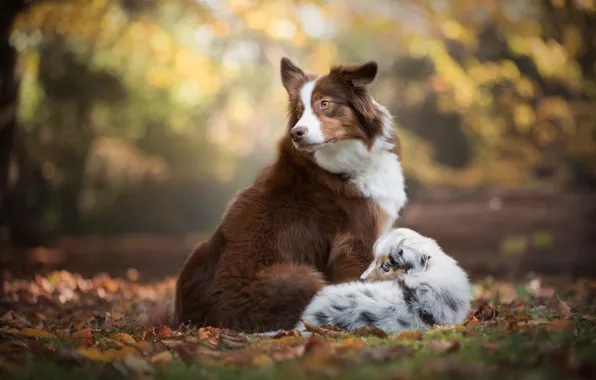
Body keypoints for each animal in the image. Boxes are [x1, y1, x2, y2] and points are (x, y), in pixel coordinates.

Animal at [142, 57, 408, 332]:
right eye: (299, 111)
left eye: (324, 104)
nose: (296, 133)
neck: (341, 160)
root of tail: (196, 320)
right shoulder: (355, 241)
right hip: (301, 277)